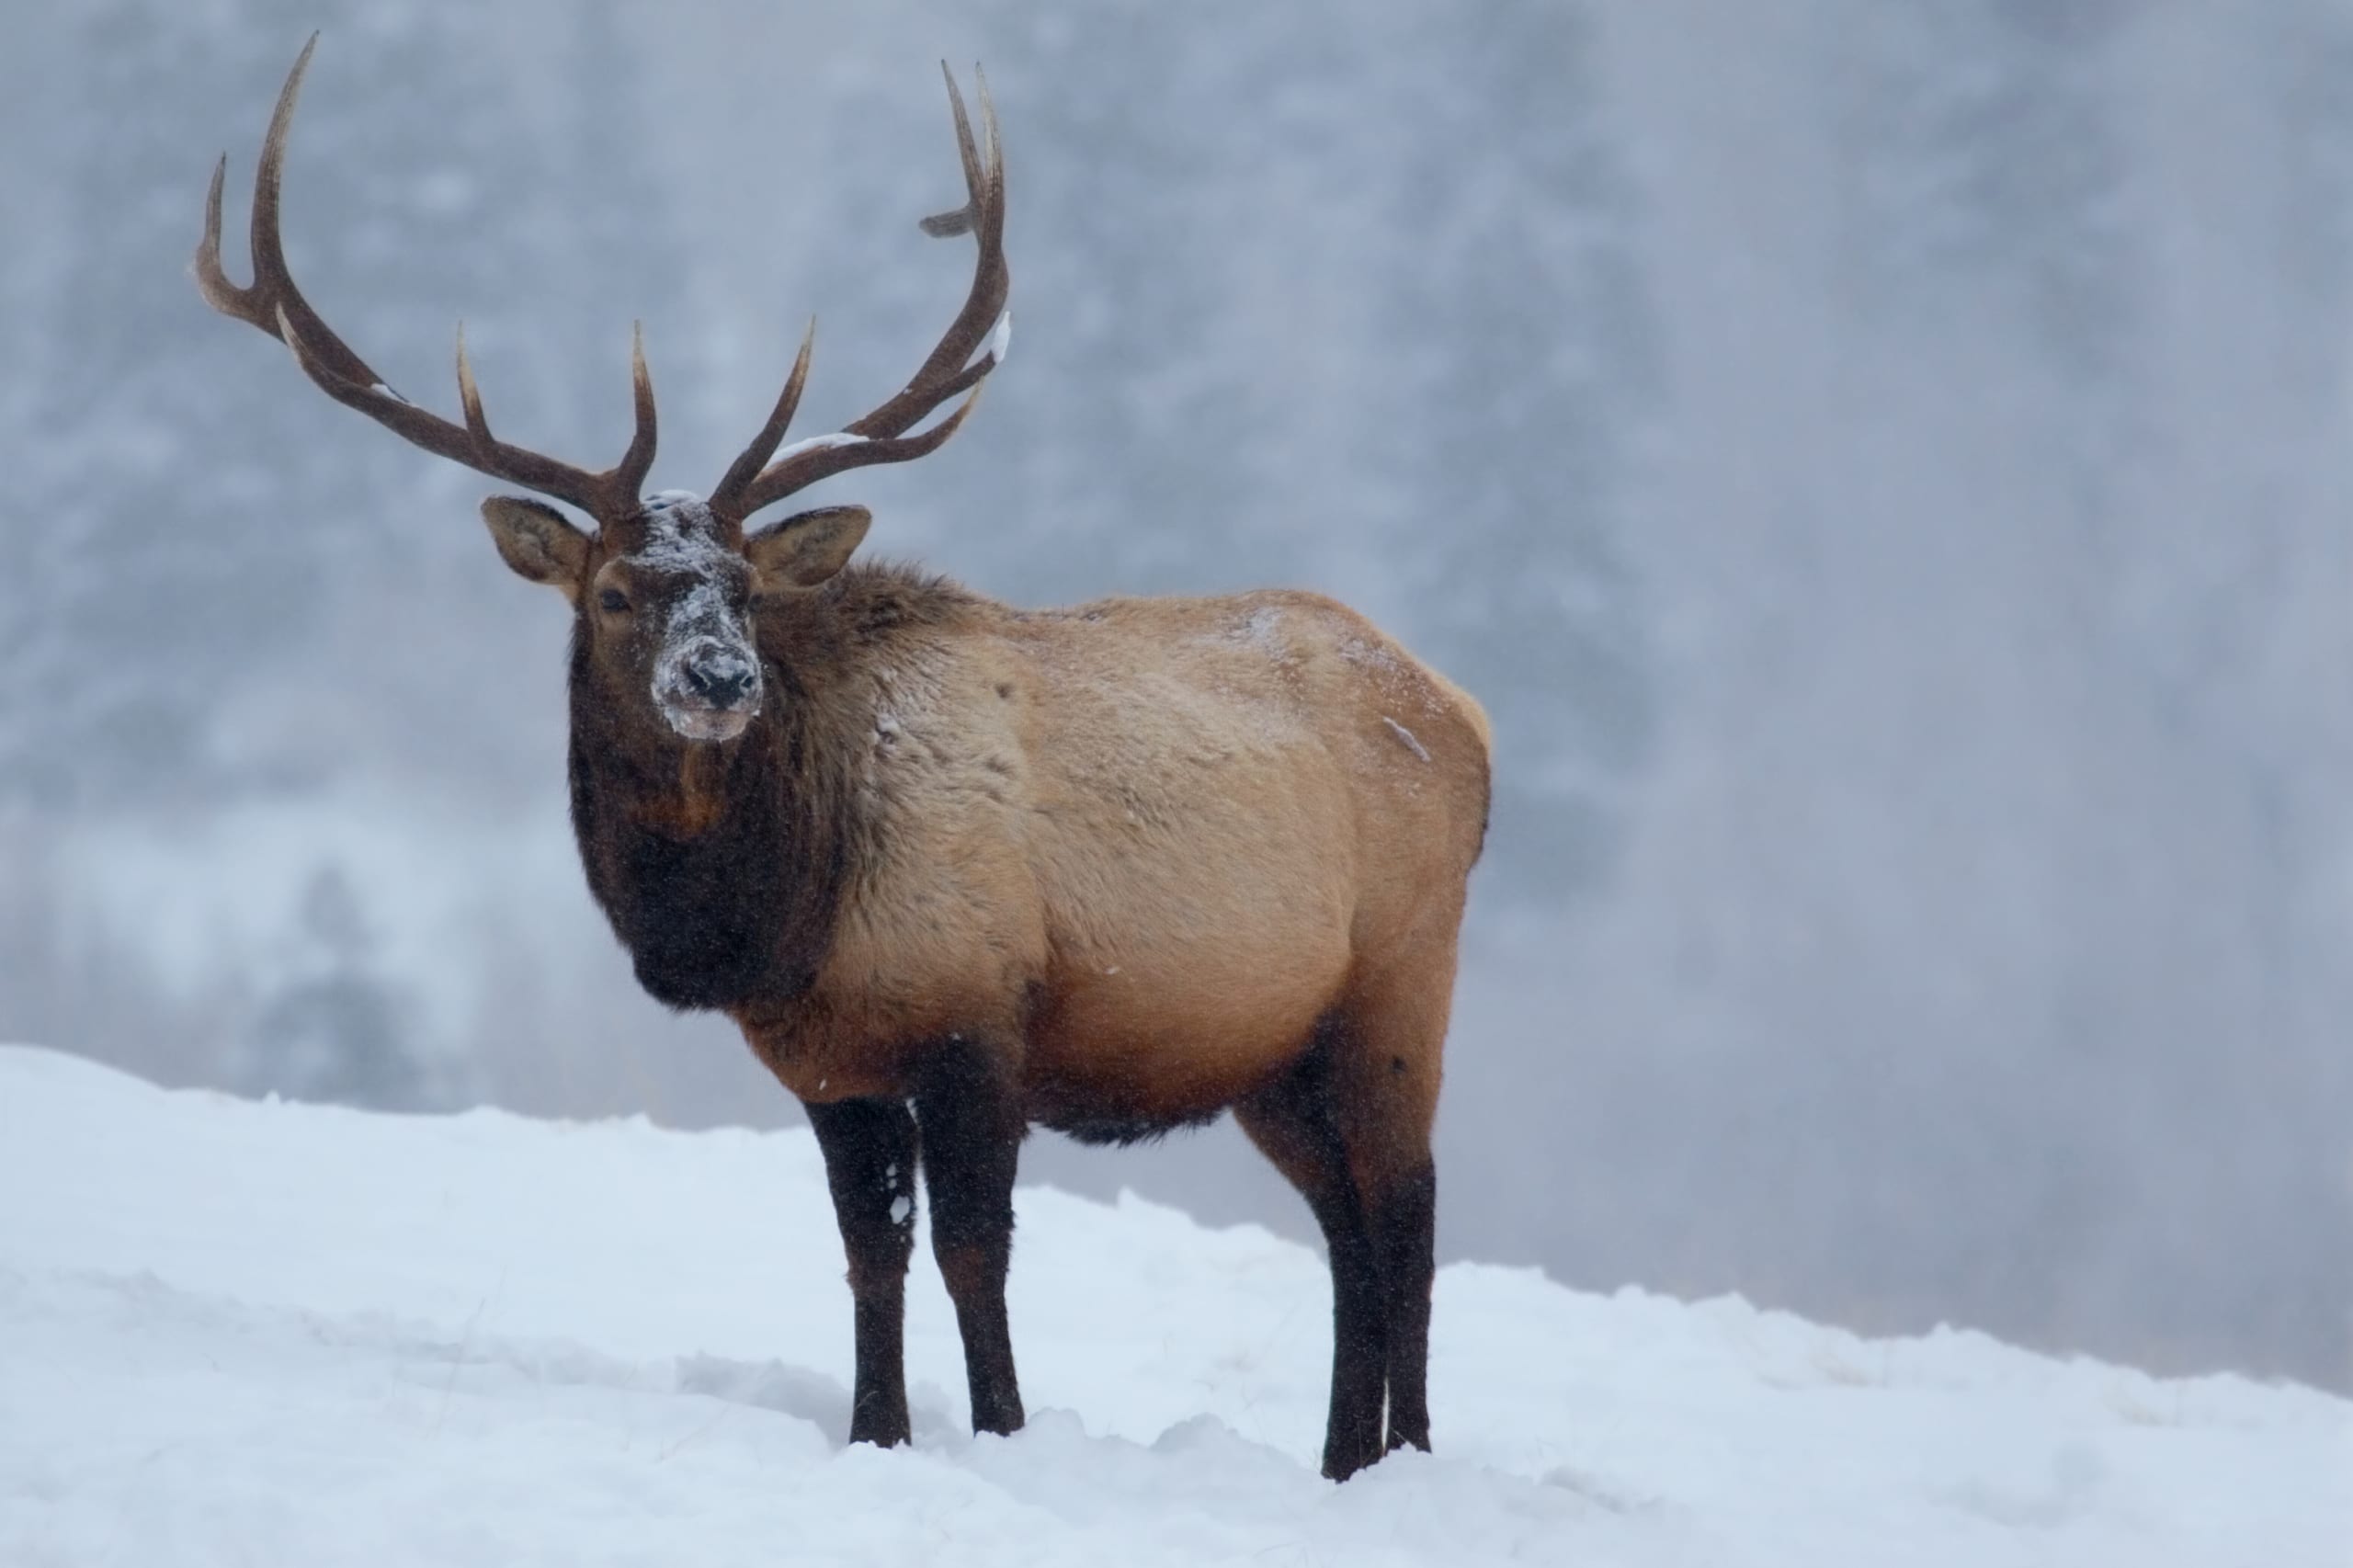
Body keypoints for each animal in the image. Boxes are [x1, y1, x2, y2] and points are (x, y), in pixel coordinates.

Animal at [202, 40, 1486, 1478]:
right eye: (615, 591)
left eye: (745, 589)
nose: (719, 678)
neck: (778, 915)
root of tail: (1468, 716)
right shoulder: (831, 1062)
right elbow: (871, 1256)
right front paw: (880, 1431)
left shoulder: (980, 1016)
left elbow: (975, 1254)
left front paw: (1001, 1429)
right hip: (1273, 1050)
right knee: (1347, 1233)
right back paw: (1342, 1461)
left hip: (1399, 981)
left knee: (1408, 1215)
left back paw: (1407, 1456)